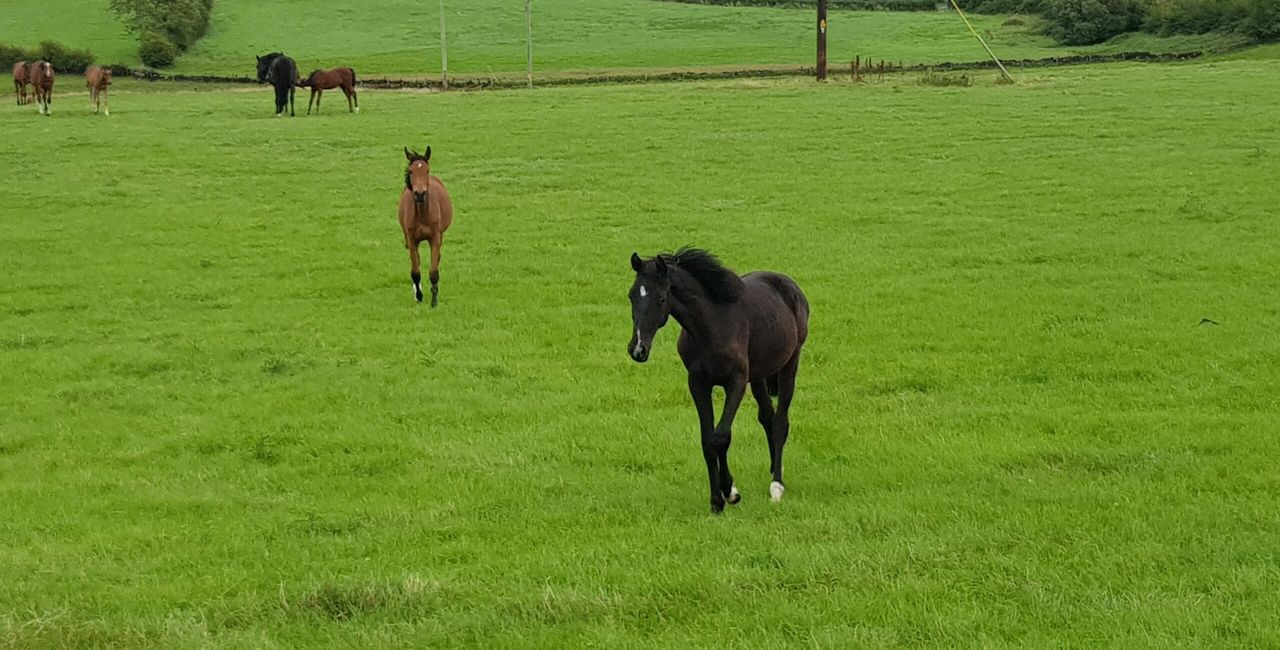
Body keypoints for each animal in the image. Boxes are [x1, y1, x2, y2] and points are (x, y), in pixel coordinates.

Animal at [399, 146, 454, 306]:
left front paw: (434, 301)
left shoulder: (434, 238)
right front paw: (419, 296)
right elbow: (415, 272)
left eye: (427, 171)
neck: (422, 213)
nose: (419, 193)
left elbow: (433, 271)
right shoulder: (412, 240)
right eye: (411, 171)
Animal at [628, 248, 810, 514]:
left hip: (790, 363)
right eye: (632, 296)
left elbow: (721, 436)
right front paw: (716, 501)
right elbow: (707, 440)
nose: (638, 349)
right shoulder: (698, 383)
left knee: (780, 422)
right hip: (759, 375)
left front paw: (729, 492)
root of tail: (789, 285)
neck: (712, 325)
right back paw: (773, 470)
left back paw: (777, 486)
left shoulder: (736, 382)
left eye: (661, 298)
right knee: (767, 417)